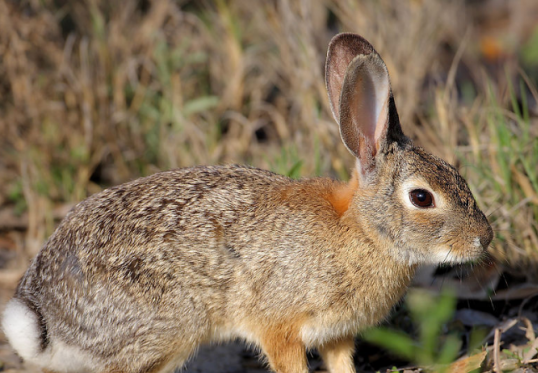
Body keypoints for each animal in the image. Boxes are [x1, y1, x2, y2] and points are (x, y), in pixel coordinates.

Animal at [2, 32, 492, 372]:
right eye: (422, 197)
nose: (484, 239)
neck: (363, 231)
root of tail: (44, 315)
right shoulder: (278, 325)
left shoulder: (336, 335)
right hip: (165, 331)